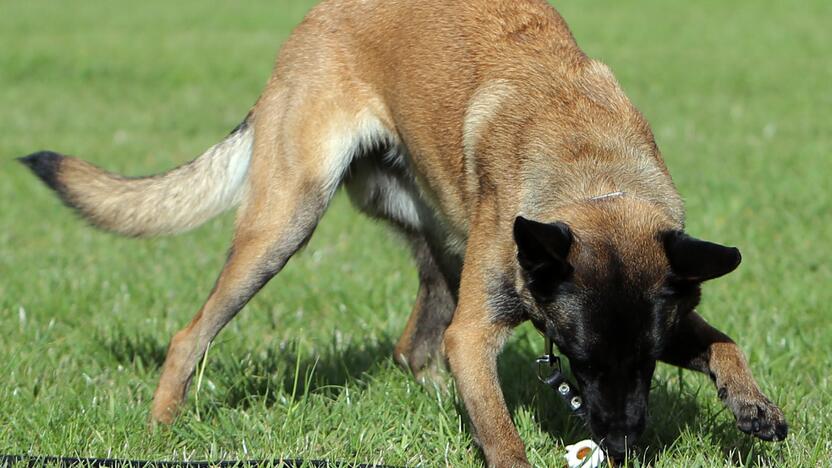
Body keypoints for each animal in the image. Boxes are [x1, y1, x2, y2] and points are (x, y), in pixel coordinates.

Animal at [19, 0, 788, 464]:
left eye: (651, 364)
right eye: (578, 360)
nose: (623, 446)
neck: (591, 167)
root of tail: (310, 24)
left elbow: (721, 340)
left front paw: (753, 405)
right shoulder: (478, 331)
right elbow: (502, 436)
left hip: (442, 245)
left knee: (415, 346)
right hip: (286, 221)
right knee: (190, 335)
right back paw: (162, 426)